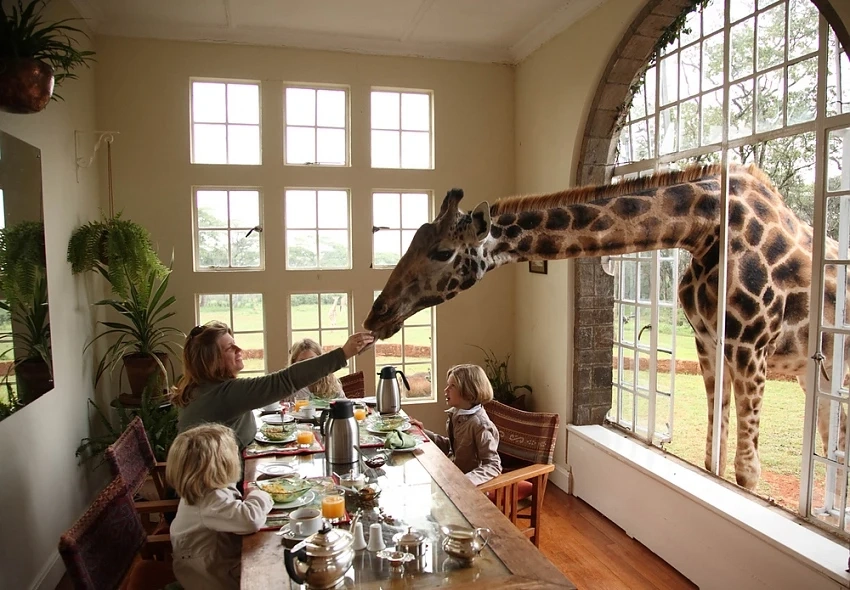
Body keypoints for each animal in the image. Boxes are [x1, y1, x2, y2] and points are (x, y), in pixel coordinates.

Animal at [364, 163, 849, 490]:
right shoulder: (710, 344)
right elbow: (715, 453)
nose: (376, 316)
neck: (704, 229)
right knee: (834, 440)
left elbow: (746, 473)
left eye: (444, 252)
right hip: (817, 374)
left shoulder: (751, 348)